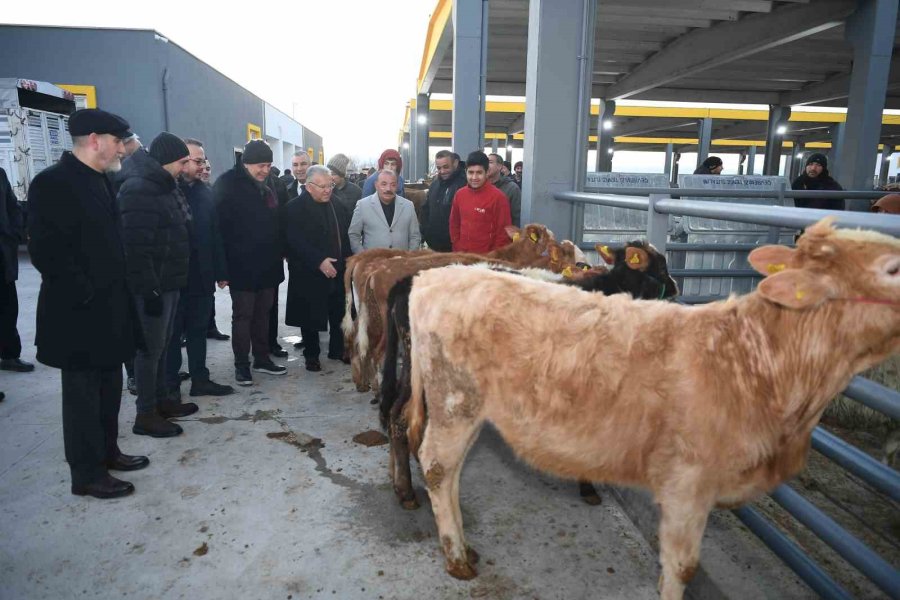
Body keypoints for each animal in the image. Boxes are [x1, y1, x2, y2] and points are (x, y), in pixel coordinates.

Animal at [404, 219, 900, 600]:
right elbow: (681, 567)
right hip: (455, 400)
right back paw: (456, 557)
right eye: (892, 268)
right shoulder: (688, 481)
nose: (677, 286)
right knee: (436, 465)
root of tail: (436, 277)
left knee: (451, 471)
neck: (755, 357)